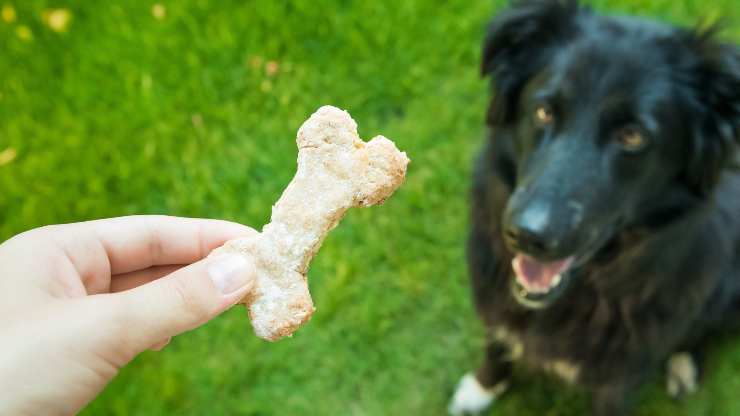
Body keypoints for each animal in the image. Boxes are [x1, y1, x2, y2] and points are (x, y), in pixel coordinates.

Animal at [448, 0, 740, 416]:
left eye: (632, 136)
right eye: (543, 111)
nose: (526, 236)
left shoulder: (619, 379)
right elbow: (496, 342)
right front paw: (482, 385)